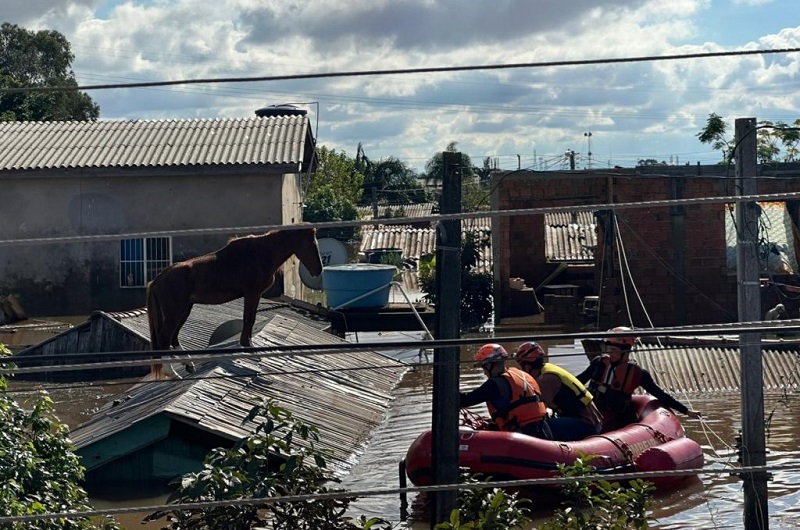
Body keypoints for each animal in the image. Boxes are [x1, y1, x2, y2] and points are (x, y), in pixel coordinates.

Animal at [145, 225, 324, 378]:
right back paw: (172, 372)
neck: (261, 253)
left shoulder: (254, 295)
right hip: (175, 312)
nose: (319, 269)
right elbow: (249, 319)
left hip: (184, 310)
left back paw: (188, 364)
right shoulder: (252, 294)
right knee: (165, 337)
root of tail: (157, 280)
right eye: (310, 243)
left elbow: (250, 319)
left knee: (173, 337)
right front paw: (249, 347)